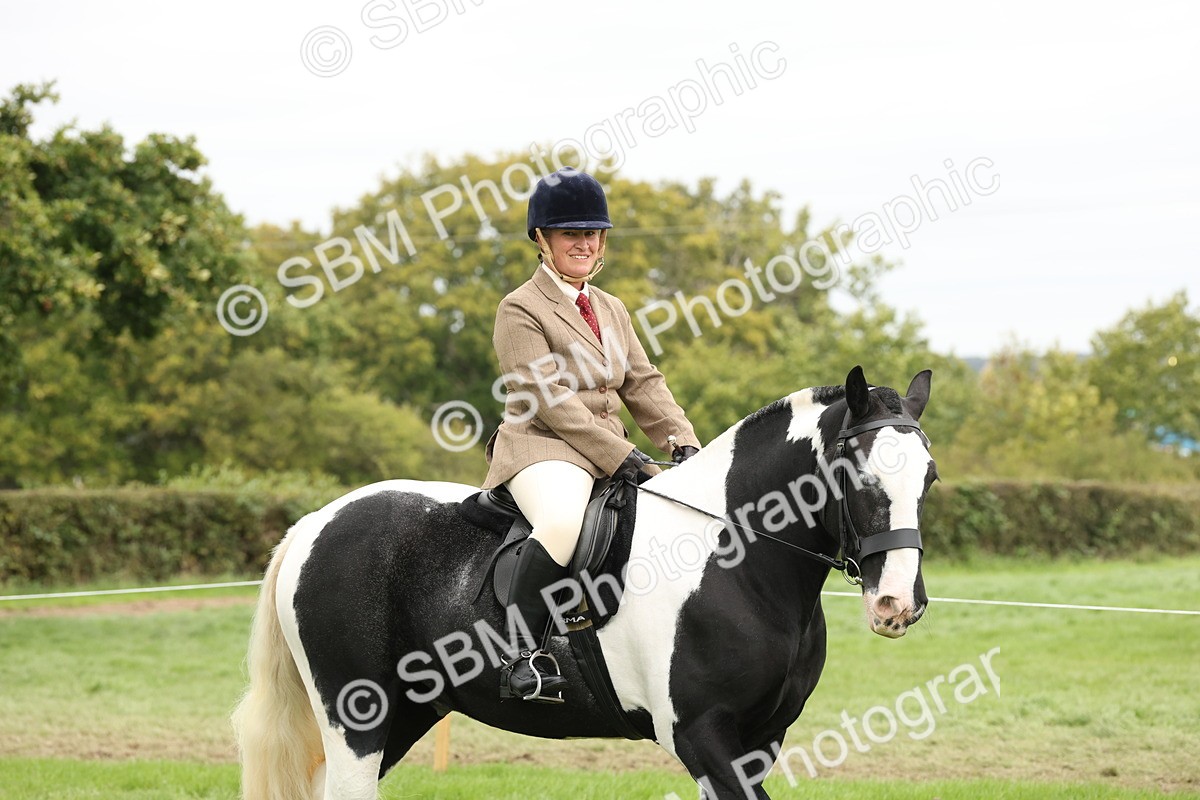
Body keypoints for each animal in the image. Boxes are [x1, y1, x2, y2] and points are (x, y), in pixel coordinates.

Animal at [231, 366, 936, 800]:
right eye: (861, 477)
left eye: (927, 479)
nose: (897, 605)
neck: (735, 560)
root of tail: (315, 522)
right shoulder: (701, 734)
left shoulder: (759, 738)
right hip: (356, 715)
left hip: (407, 712)